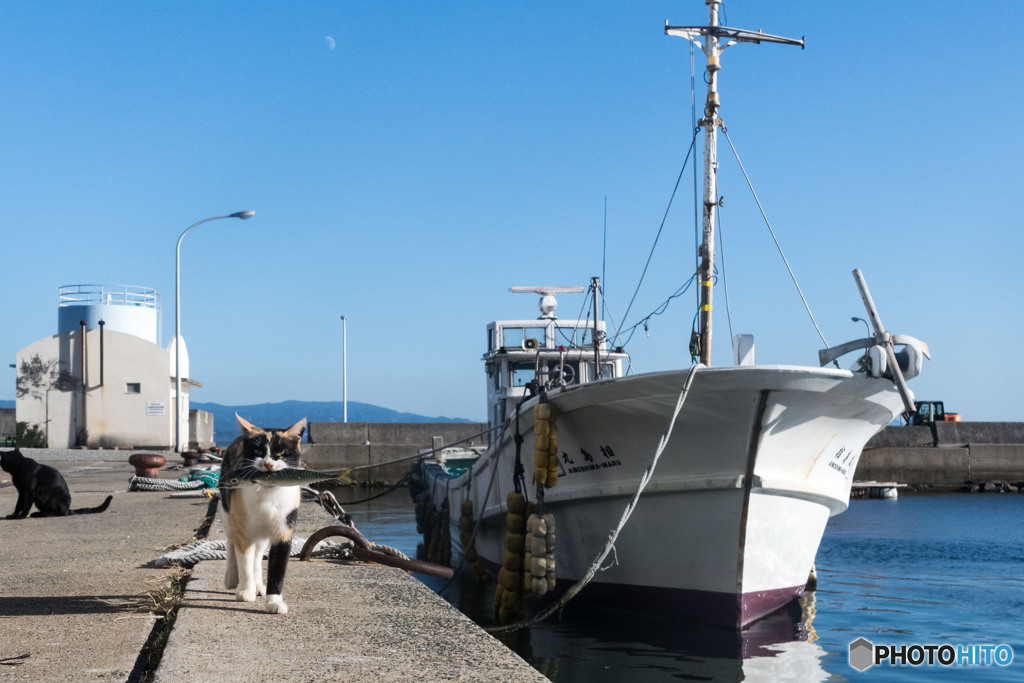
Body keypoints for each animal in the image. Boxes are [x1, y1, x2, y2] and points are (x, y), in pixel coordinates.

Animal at [220, 413, 307, 618]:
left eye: (281, 453)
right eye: (258, 451)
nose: (268, 464)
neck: (268, 492)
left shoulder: (284, 530)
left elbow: (277, 568)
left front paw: (274, 601)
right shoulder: (243, 529)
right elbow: (244, 561)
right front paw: (246, 591)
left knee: (258, 556)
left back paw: (259, 585)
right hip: (228, 512)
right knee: (232, 542)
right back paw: (233, 578)